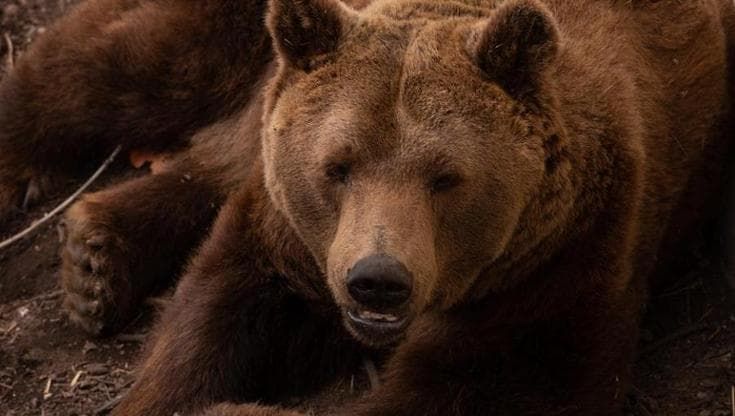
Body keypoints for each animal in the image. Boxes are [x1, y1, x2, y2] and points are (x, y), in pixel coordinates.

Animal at [0, 0, 734, 415]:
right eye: (337, 166)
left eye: (446, 178)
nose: (377, 280)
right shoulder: (289, 239)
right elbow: (211, 316)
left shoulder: (558, 263)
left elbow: (494, 383)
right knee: (131, 66)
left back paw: (96, 255)